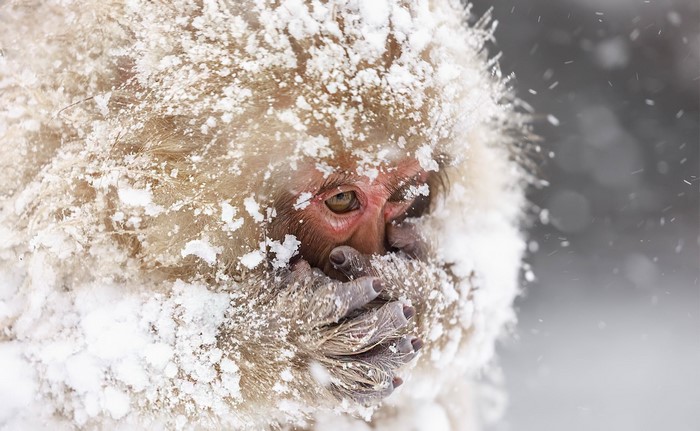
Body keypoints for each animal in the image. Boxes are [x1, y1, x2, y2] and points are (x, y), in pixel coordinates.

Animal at [0, 0, 530, 430]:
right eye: (343, 201)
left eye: (401, 196)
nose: (371, 249)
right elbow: (64, 376)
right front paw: (293, 340)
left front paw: (422, 287)